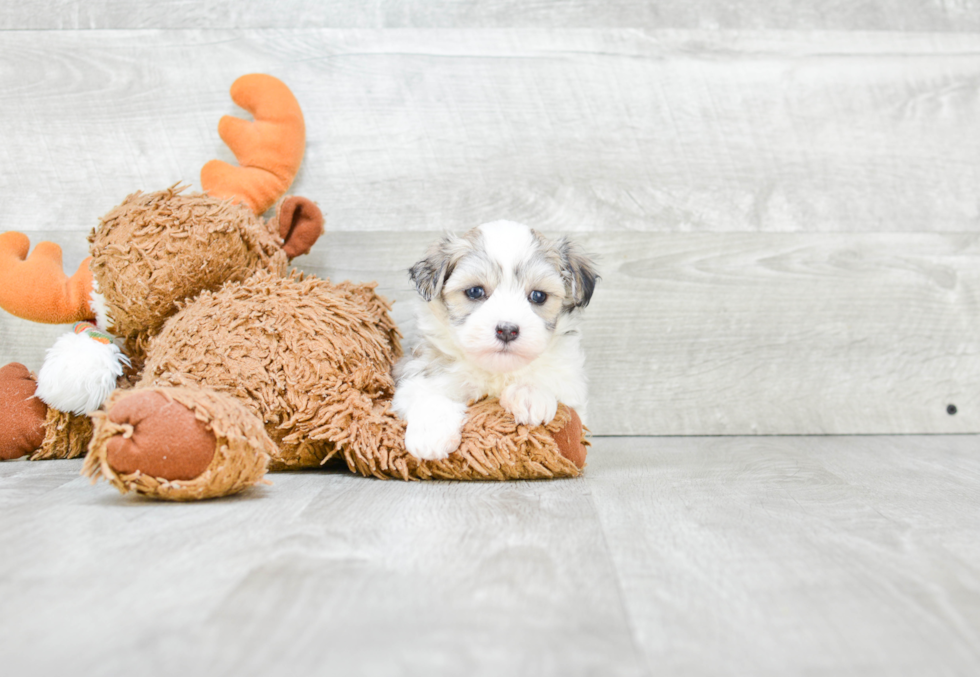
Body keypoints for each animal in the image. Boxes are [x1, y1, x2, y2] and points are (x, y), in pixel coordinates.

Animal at [390, 220, 596, 460]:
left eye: (538, 296)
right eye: (475, 291)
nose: (506, 330)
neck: (497, 371)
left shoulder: (572, 388)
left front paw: (529, 394)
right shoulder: (417, 372)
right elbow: (426, 393)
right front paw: (431, 435)